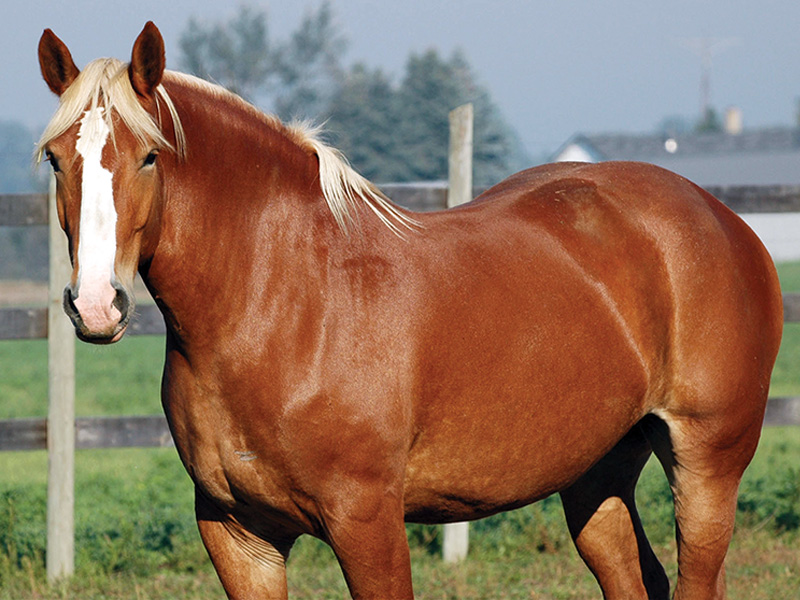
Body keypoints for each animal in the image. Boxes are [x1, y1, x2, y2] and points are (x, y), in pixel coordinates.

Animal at [37, 22, 783, 599]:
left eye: (148, 157)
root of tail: (722, 219)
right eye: (55, 160)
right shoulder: (239, 534)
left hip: (706, 464)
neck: (283, 304)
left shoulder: (367, 523)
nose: (97, 305)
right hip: (596, 474)